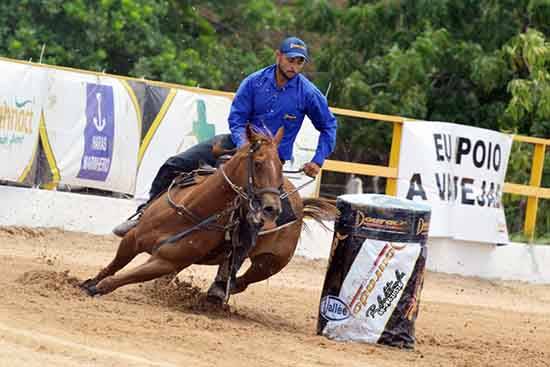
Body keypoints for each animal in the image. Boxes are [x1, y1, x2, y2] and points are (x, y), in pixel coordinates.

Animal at [80, 125, 338, 304]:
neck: (191, 211)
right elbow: (114, 265)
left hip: (270, 263)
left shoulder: (165, 261)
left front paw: (97, 288)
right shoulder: (134, 239)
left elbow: (121, 278)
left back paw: (218, 292)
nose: (272, 209)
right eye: (258, 163)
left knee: (242, 280)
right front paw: (87, 282)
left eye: (281, 166)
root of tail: (300, 204)